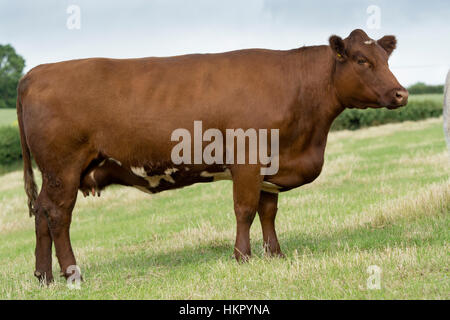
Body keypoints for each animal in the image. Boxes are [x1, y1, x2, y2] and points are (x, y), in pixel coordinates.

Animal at [16, 29, 408, 284]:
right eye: (361, 59)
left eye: (385, 58)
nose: (401, 93)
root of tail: (36, 72)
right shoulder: (247, 161)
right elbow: (245, 209)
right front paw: (243, 257)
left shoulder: (270, 165)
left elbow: (268, 211)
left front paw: (275, 254)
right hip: (63, 169)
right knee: (58, 216)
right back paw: (71, 273)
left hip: (57, 174)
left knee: (42, 213)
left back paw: (43, 276)